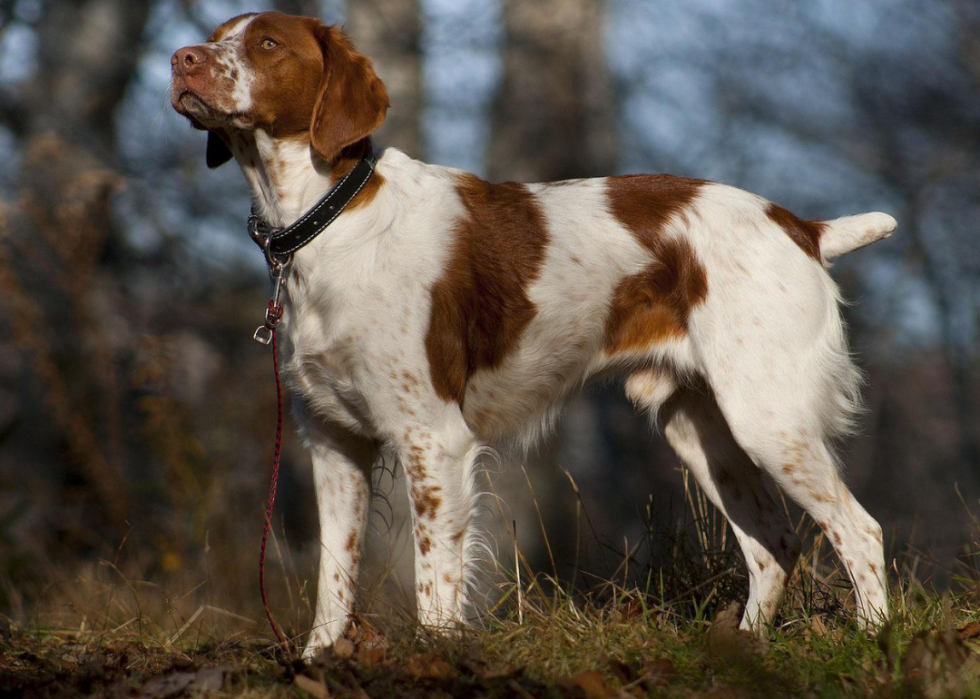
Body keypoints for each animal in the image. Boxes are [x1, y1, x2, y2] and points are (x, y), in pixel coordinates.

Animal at [170, 10, 896, 656]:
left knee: (859, 529)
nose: (181, 59)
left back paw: (873, 640)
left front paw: (438, 658)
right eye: (215, 36)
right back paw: (744, 649)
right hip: (702, 428)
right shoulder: (333, 440)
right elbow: (335, 577)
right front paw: (319, 661)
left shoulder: (432, 438)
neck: (326, 222)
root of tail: (802, 226)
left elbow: (435, 581)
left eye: (267, 43)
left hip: (768, 418)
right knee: (774, 543)